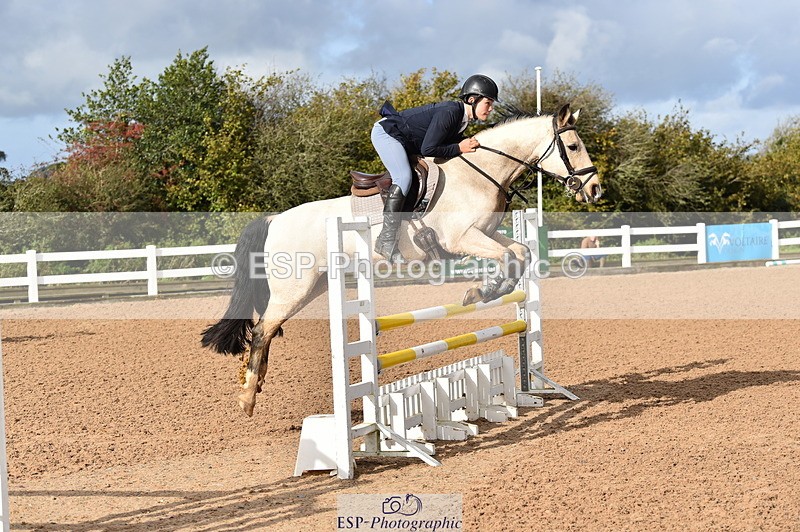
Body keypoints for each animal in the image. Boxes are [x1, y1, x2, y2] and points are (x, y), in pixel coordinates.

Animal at [202, 103, 601, 416]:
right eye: (572, 145)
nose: (595, 190)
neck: (479, 173)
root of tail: (274, 220)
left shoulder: (485, 233)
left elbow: (520, 253)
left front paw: (487, 290)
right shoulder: (463, 239)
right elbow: (508, 255)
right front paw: (480, 291)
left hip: (311, 287)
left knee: (265, 329)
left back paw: (252, 383)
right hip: (294, 288)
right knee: (262, 330)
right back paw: (247, 397)